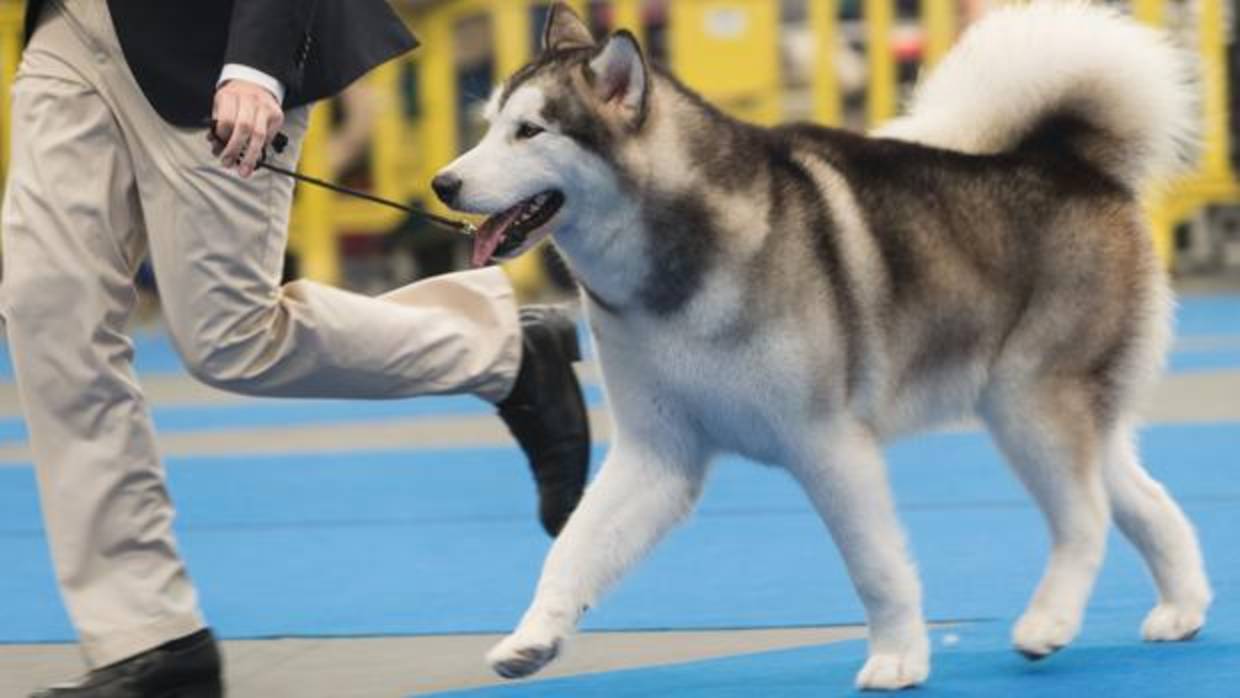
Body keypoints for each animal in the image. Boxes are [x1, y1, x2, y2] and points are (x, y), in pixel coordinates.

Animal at [431, 1, 1205, 694]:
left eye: (530, 131)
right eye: (490, 126)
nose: (444, 181)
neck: (670, 270)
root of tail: (1075, 164)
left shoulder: (826, 443)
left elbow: (874, 566)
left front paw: (897, 659)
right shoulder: (658, 452)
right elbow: (575, 547)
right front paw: (533, 637)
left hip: (1029, 404)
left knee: (1086, 517)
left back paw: (1048, 623)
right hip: (1055, 410)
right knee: (1140, 497)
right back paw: (1182, 608)